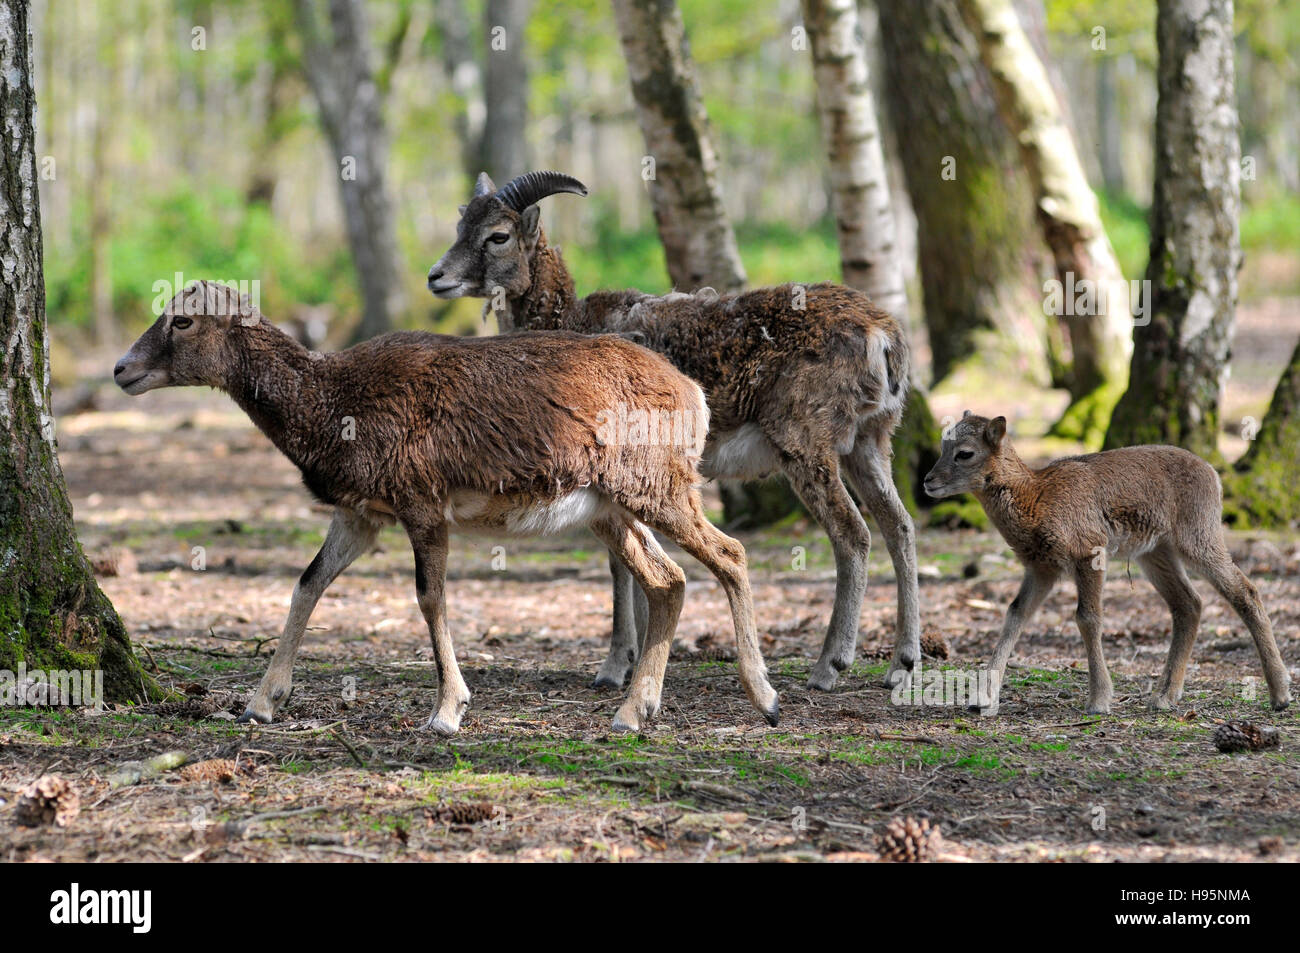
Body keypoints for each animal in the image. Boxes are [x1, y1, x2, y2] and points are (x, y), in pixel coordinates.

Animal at [111, 278, 774, 733]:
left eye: (183, 321)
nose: (121, 369)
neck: (335, 404)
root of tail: (692, 392)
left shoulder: (422, 505)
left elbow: (431, 598)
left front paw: (447, 711)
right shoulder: (360, 515)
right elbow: (308, 583)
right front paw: (261, 703)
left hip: (659, 489)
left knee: (730, 554)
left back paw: (763, 698)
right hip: (612, 511)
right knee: (669, 580)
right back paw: (635, 711)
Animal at [426, 171, 925, 691]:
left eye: (498, 235)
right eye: (461, 224)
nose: (436, 277)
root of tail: (883, 336)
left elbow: (620, 566)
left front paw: (614, 668)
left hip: (808, 447)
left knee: (853, 535)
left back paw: (829, 666)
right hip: (869, 443)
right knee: (900, 525)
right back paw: (902, 663)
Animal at [925, 413, 1289, 712]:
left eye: (965, 452)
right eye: (943, 445)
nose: (928, 481)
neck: (1037, 499)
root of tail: (1214, 474)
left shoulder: (1089, 552)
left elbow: (1087, 618)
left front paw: (1099, 701)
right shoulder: (1041, 567)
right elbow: (1015, 614)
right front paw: (981, 700)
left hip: (1198, 538)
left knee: (1245, 591)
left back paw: (1280, 695)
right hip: (1155, 552)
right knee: (1189, 603)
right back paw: (1164, 697)